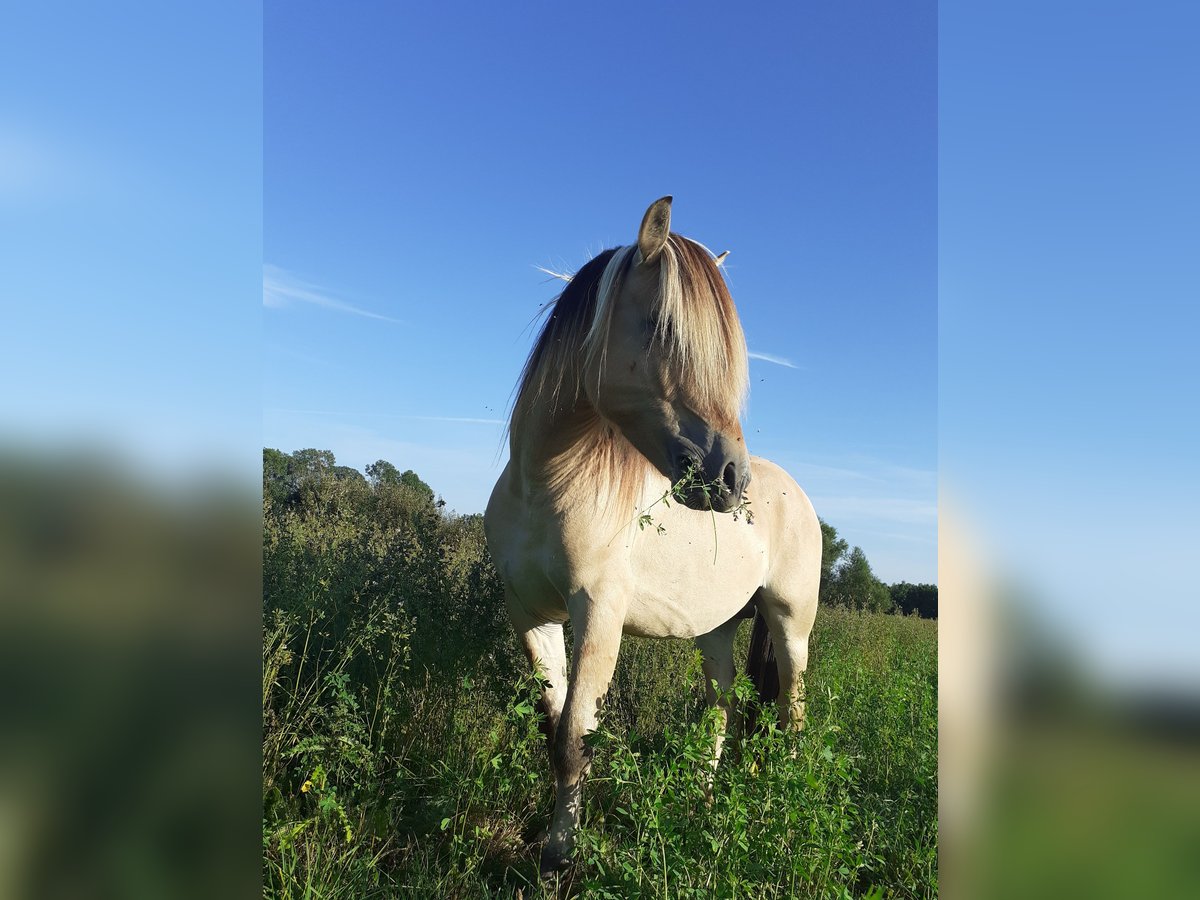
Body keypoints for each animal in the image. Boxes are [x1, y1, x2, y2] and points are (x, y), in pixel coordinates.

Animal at [482, 199, 820, 883]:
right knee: (723, 710)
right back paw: (705, 804)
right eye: (662, 328)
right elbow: (551, 728)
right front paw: (552, 846)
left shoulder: (599, 615)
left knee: (791, 713)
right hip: (717, 628)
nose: (731, 479)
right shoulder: (529, 613)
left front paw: (559, 858)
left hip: (790, 625)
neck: (545, 483)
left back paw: (783, 805)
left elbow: (573, 739)